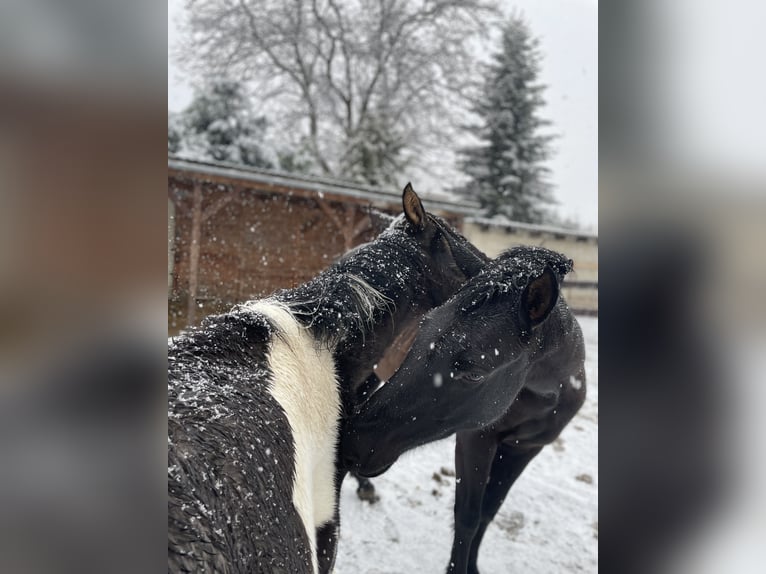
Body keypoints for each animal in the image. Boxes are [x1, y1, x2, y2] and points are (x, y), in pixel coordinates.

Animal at [342, 246, 588, 574]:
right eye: (422, 329)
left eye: (473, 373)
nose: (353, 443)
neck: (549, 392)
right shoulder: (476, 439)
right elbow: (468, 515)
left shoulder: (524, 448)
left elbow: (488, 511)